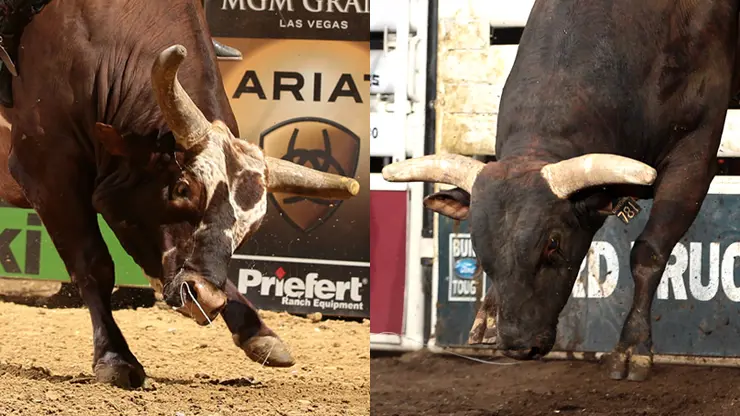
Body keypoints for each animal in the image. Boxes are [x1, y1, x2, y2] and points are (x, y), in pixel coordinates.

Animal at [0, 0, 360, 389]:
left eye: (253, 226)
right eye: (182, 188)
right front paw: (115, 357)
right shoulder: (46, 169)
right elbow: (93, 263)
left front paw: (257, 331)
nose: (205, 297)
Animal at [382, 0, 740, 381]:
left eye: (553, 243)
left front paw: (632, 348)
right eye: (478, 246)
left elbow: (648, 252)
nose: (517, 344)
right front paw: (490, 313)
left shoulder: (694, 158)